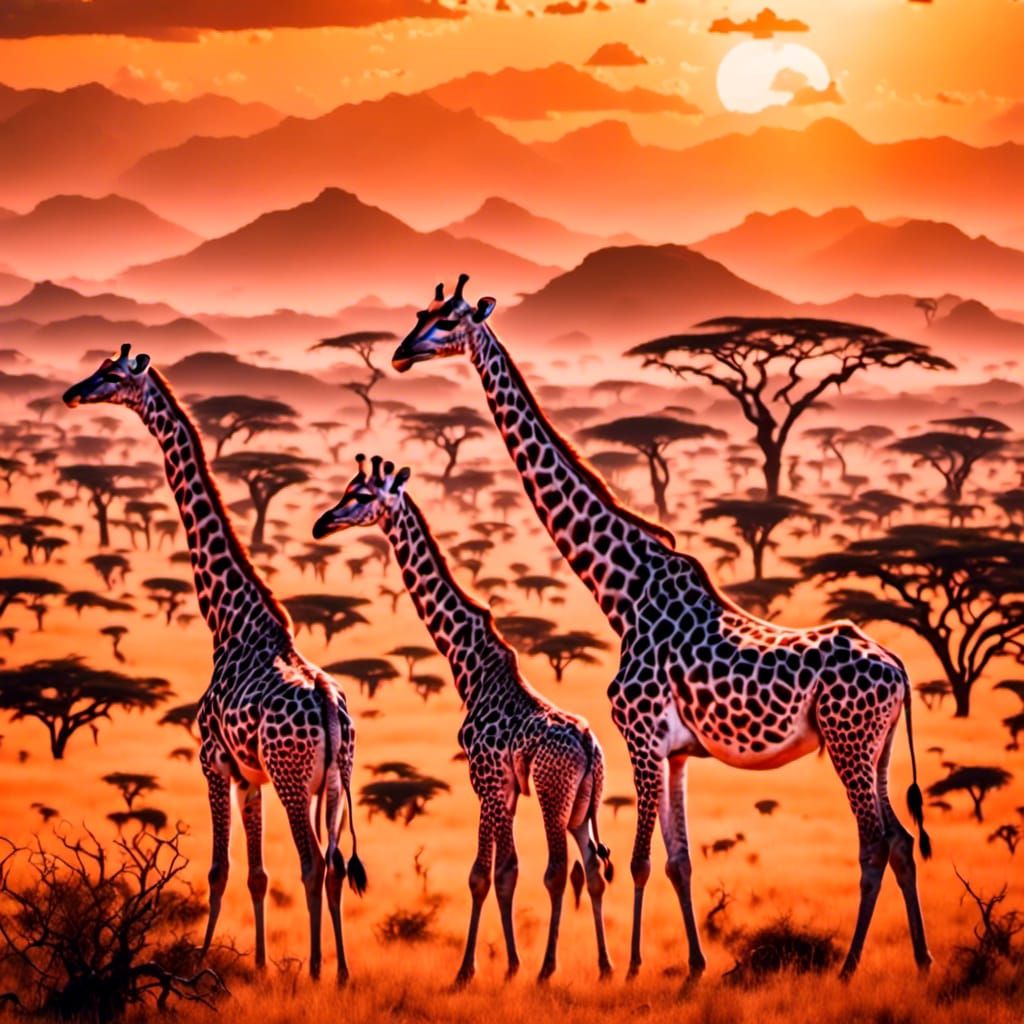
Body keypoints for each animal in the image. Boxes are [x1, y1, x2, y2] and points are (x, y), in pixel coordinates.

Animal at [63, 345, 366, 982]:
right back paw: (342, 972)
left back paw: (316, 970)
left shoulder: (214, 762)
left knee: (311, 862)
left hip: (293, 780)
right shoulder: (250, 776)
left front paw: (200, 962)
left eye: (112, 374)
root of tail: (329, 708)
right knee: (330, 866)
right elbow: (257, 874)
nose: (74, 393)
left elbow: (220, 869)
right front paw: (259, 964)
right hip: (334, 782)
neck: (230, 621)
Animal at [313, 455, 613, 985]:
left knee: (559, 871)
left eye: (362, 495)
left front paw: (478, 969)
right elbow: (505, 872)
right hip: (583, 806)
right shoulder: (505, 789)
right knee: (593, 872)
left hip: (553, 797)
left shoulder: (486, 782)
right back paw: (604, 966)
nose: (322, 524)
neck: (472, 666)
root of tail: (589, 746)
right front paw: (508, 964)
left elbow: (483, 874)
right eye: (347, 489)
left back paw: (548, 969)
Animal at [389, 276, 933, 981]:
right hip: (879, 747)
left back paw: (850, 967)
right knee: (899, 839)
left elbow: (639, 859)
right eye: (420, 313)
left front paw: (629, 967)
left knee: (873, 842)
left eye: (449, 320)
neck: (622, 590)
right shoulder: (675, 751)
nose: (401, 353)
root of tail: (899, 669)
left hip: (847, 742)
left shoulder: (640, 735)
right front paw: (695, 964)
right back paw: (919, 958)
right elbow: (678, 861)